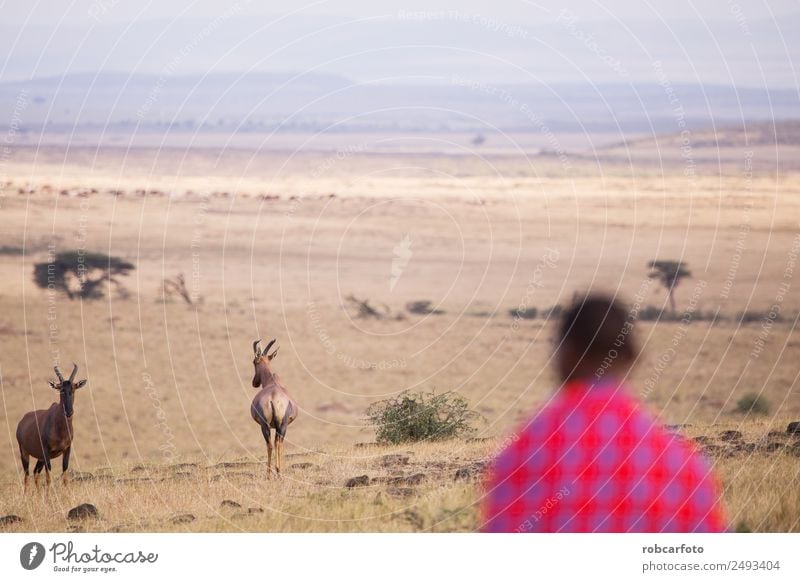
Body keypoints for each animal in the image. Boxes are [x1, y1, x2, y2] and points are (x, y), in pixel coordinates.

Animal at [16, 364, 87, 492]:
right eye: (61, 390)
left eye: (73, 389)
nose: (69, 412)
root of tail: (22, 421)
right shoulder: (47, 451)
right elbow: (48, 478)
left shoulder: (67, 449)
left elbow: (65, 476)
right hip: (24, 453)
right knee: (26, 476)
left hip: (40, 458)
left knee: (35, 472)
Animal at [250, 340, 296, 476]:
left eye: (254, 362)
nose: (254, 383)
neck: (273, 381)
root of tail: (273, 398)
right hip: (280, 425)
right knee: (277, 444)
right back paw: (277, 471)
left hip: (266, 425)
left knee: (271, 444)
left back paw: (271, 473)